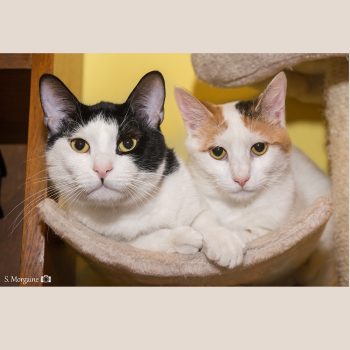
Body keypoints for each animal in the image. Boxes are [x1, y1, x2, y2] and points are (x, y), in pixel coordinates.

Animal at [39, 71, 245, 268]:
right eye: (79, 145)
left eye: (128, 143)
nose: (102, 169)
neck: (130, 209)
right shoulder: (104, 238)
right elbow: (141, 241)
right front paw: (183, 238)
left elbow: (204, 217)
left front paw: (225, 243)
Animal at [175, 72, 336, 284]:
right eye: (217, 152)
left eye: (259, 148)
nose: (241, 178)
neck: (237, 207)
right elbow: (200, 217)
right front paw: (220, 239)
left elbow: (259, 233)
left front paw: (231, 241)